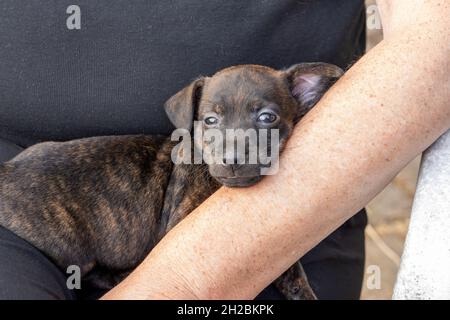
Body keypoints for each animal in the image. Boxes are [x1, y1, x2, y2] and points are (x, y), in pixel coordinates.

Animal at [0, 63, 342, 300]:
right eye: (210, 120)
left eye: (267, 118)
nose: (231, 159)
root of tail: (7, 171)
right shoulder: (177, 227)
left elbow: (292, 272)